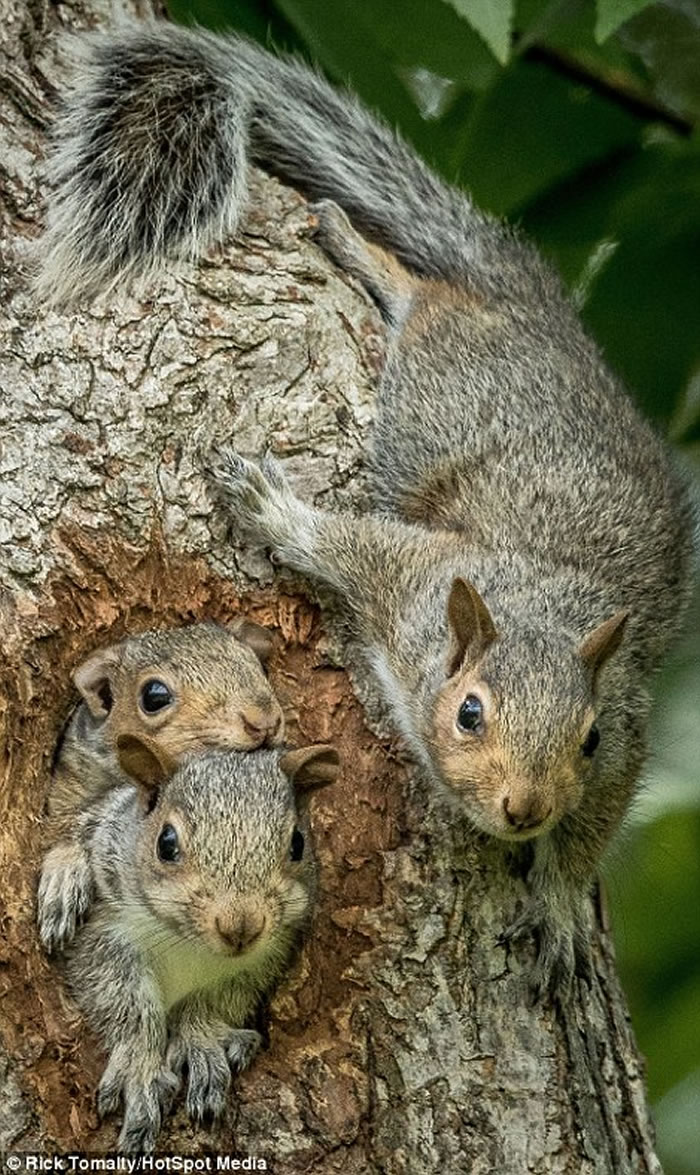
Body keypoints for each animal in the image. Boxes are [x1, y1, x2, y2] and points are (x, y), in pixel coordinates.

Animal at [49, 737, 338, 1151]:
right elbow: (126, 1001)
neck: (191, 946)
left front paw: (200, 1043)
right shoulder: (105, 929)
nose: (240, 927)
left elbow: (211, 1002)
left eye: (298, 843)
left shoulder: (262, 959)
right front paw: (141, 1070)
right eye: (166, 842)